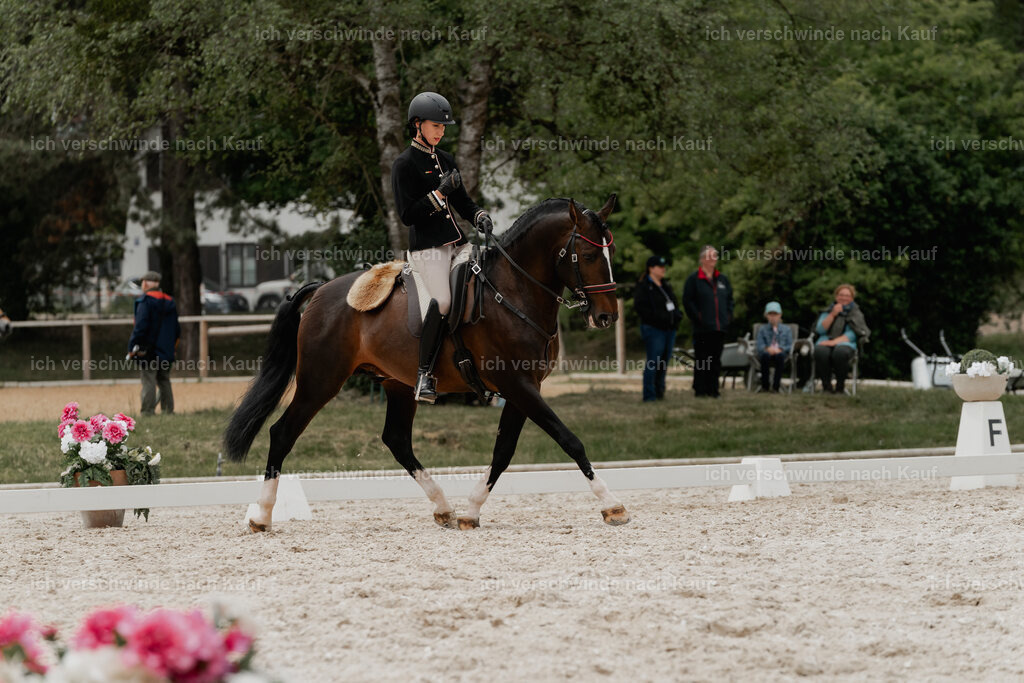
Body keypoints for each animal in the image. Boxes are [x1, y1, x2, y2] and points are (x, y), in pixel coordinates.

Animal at [223, 194, 630, 531]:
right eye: (588, 256)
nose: (607, 316)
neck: (513, 292)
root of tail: (321, 290)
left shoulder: (524, 388)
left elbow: (503, 453)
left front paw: (471, 511)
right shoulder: (518, 385)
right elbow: (569, 440)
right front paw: (612, 506)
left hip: (397, 385)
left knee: (397, 440)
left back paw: (444, 508)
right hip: (320, 382)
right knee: (282, 433)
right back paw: (262, 516)